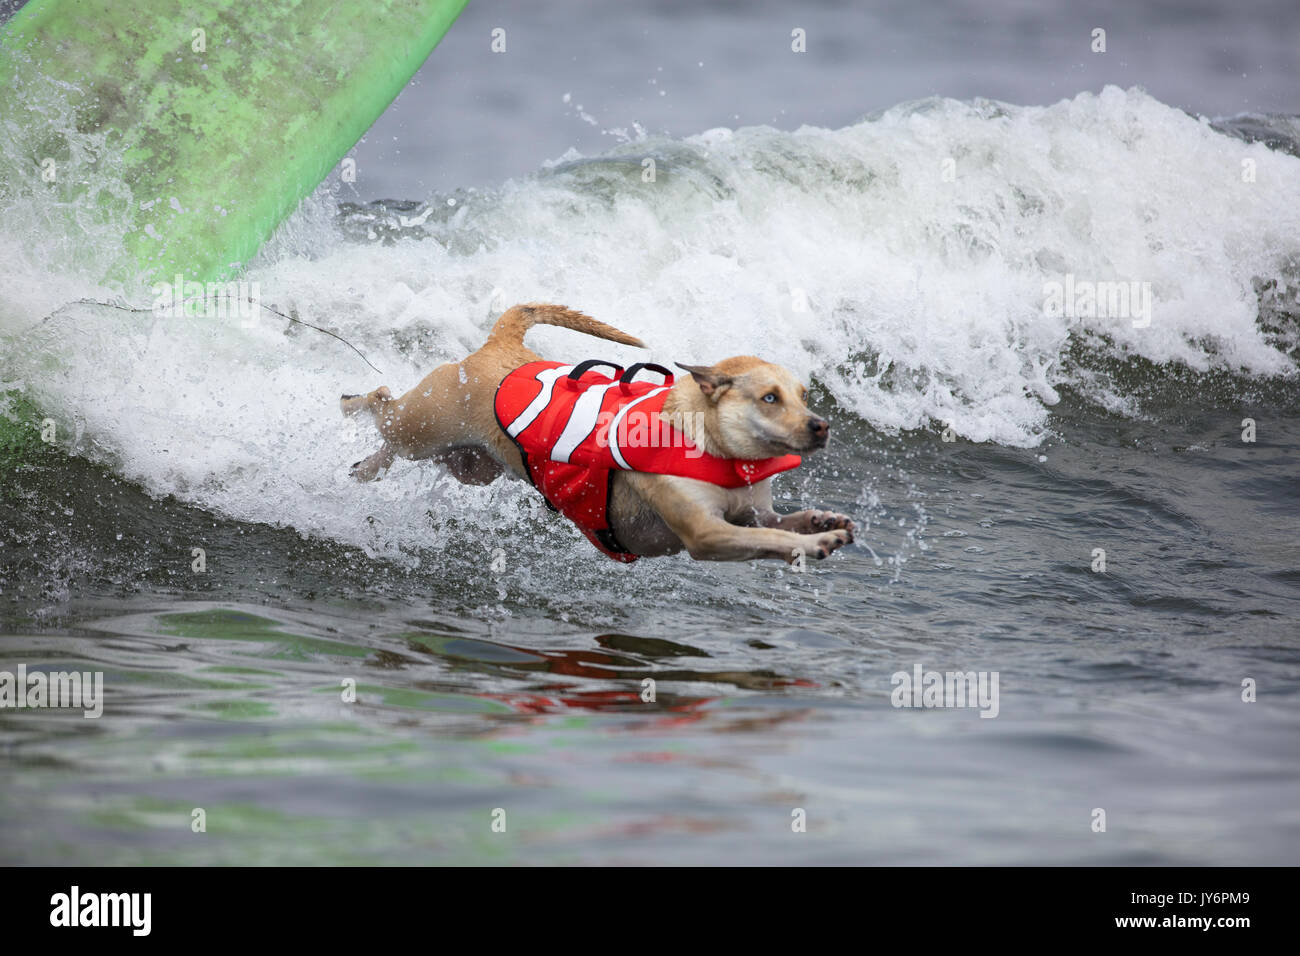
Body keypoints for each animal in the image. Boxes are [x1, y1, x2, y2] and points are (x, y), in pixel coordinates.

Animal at [340, 303, 857, 564]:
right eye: (769, 398)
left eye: (804, 395)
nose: (822, 425)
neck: (712, 443)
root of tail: (501, 345)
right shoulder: (707, 534)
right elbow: (770, 539)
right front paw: (812, 543)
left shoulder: (751, 514)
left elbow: (775, 523)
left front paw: (820, 520)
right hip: (421, 428)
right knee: (383, 404)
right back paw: (353, 415)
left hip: (471, 466)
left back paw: (366, 466)